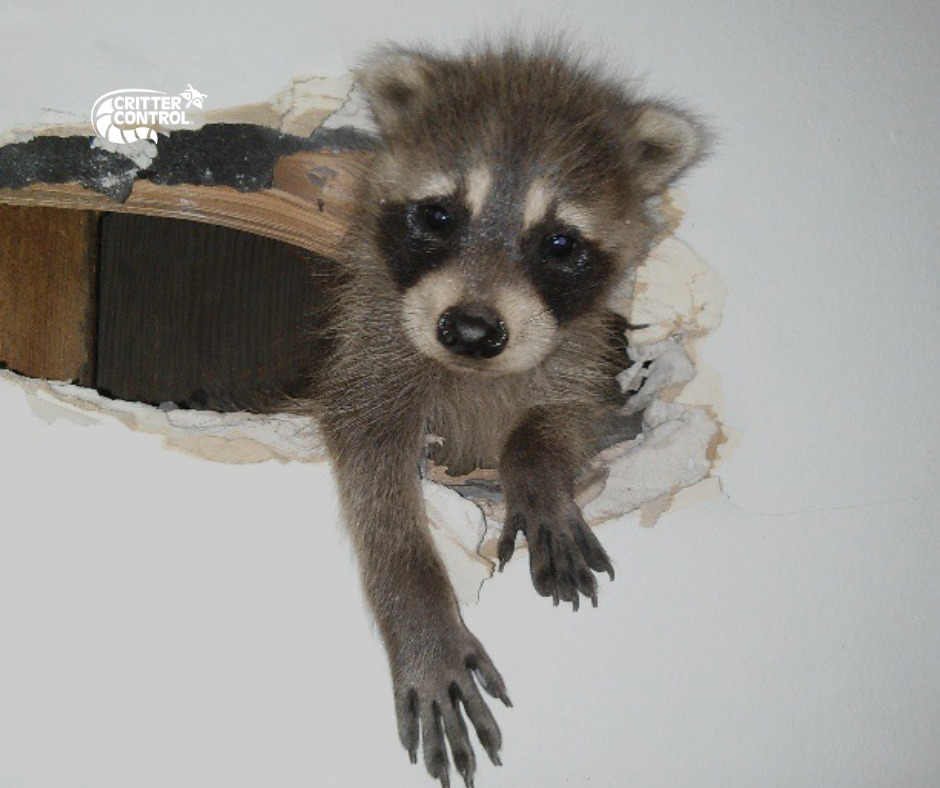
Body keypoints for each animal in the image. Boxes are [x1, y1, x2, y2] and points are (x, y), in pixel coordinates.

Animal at [316, 42, 707, 787]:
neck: (474, 373)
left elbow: (567, 421)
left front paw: (537, 472)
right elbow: (376, 480)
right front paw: (419, 607)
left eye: (558, 244)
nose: (470, 331)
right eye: (439, 216)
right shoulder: (372, 354)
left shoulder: (588, 362)